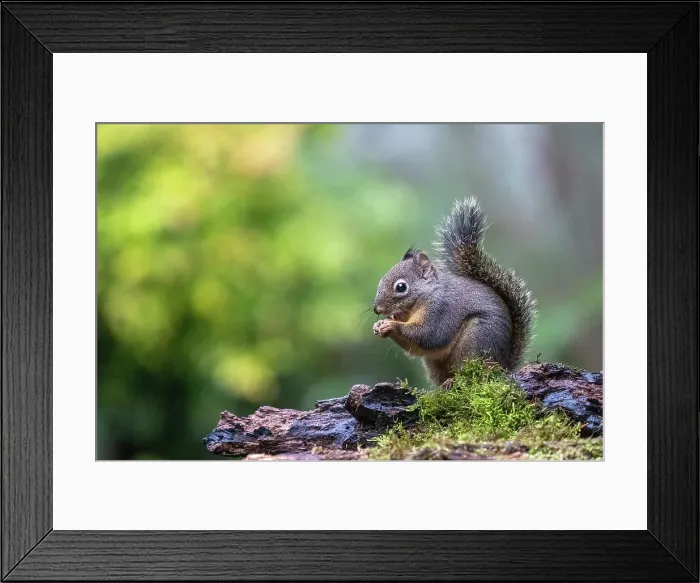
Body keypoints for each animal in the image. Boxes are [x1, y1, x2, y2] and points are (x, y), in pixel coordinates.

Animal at [372, 197, 537, 388]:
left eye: (401, 287)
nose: (377, 309)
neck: (425, 296)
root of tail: (503, 367)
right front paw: (379, 325)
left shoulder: (440, 310)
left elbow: (428, 334)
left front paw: (390, 325)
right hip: (435, 363)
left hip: (475, 342)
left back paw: (455, 380)